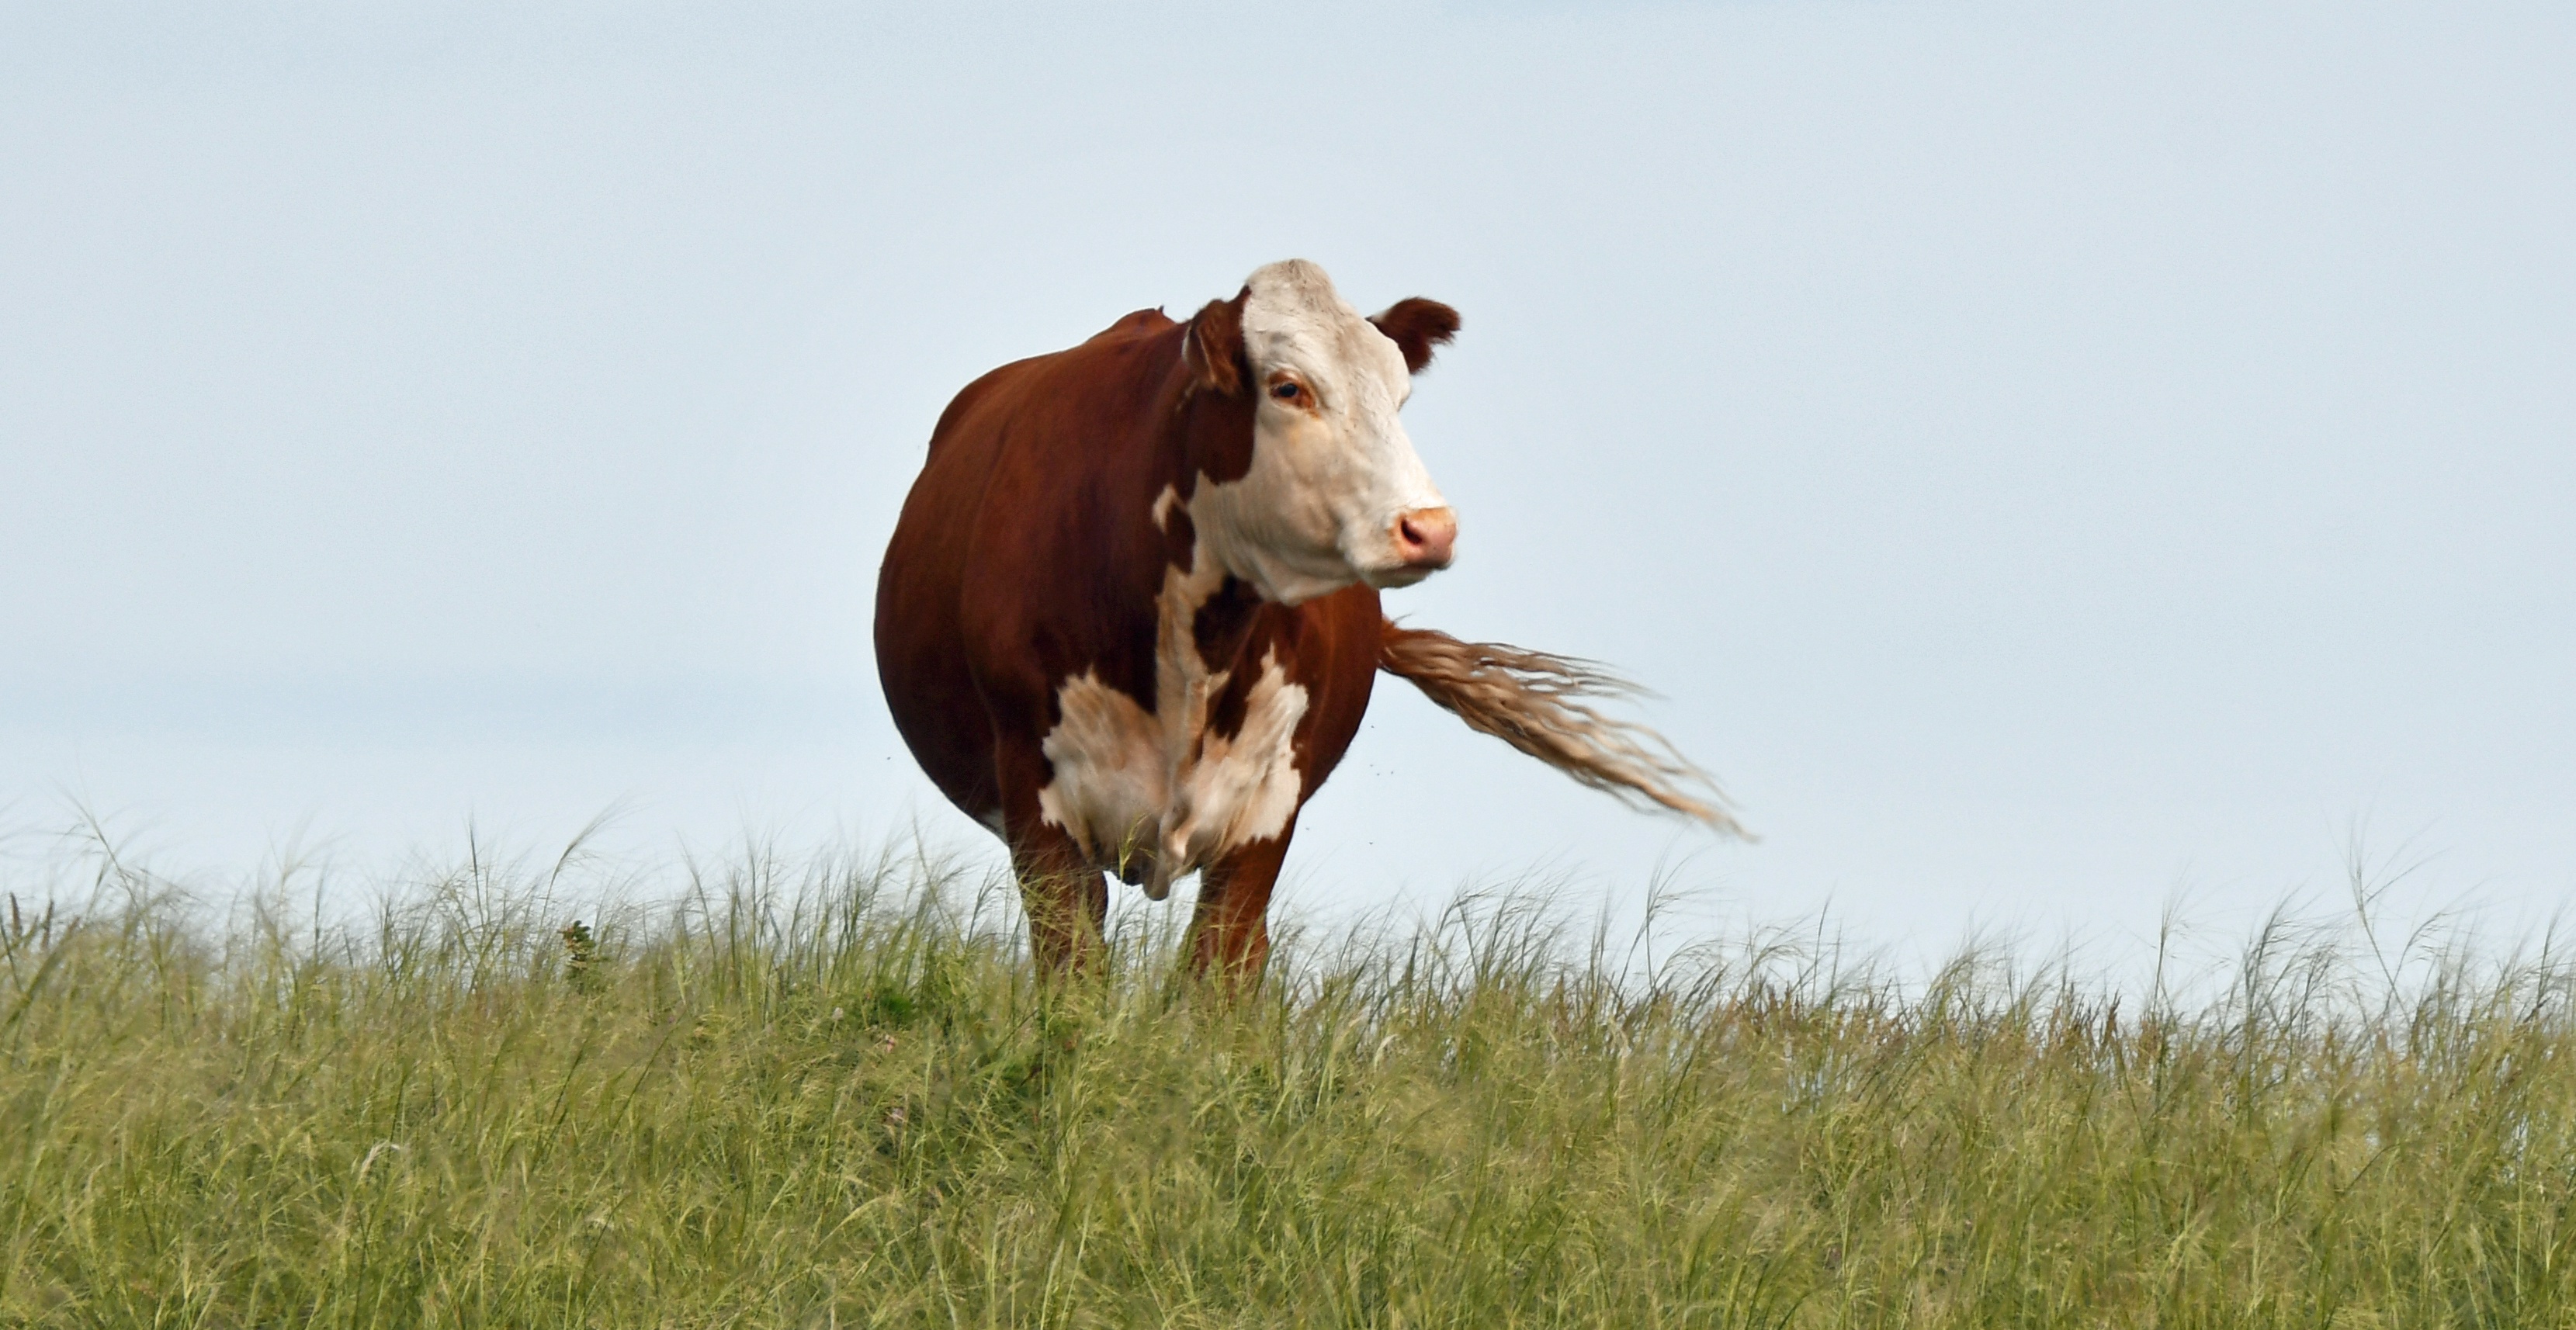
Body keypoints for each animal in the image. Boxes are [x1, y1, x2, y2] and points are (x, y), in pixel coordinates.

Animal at [875, 260, 1741, 974]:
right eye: (1289, 387)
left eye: (1398, 396)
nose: (1429, 527)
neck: (1191, 651)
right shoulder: (1038, 805)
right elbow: (1073, 978)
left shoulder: (1264, 817)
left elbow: (1216, 975)